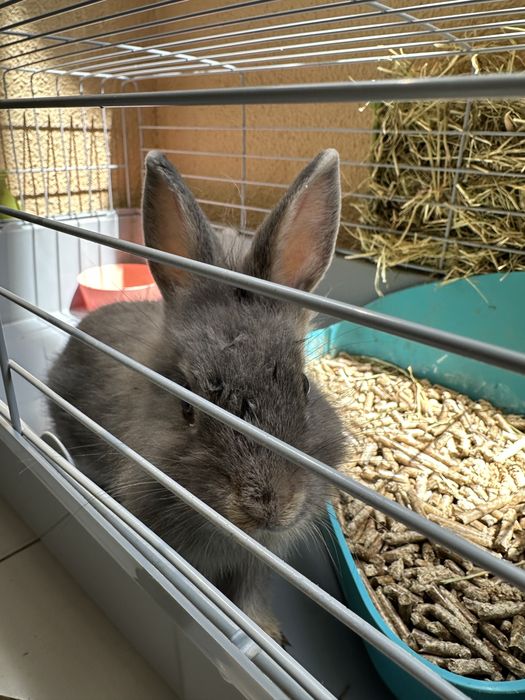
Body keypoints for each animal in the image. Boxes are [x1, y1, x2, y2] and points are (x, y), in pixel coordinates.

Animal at [47, 148, 346, 644]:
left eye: (303, 385)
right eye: (188, 407)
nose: (270, 506)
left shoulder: (255, 564)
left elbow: (249, 595)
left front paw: (267, 631)